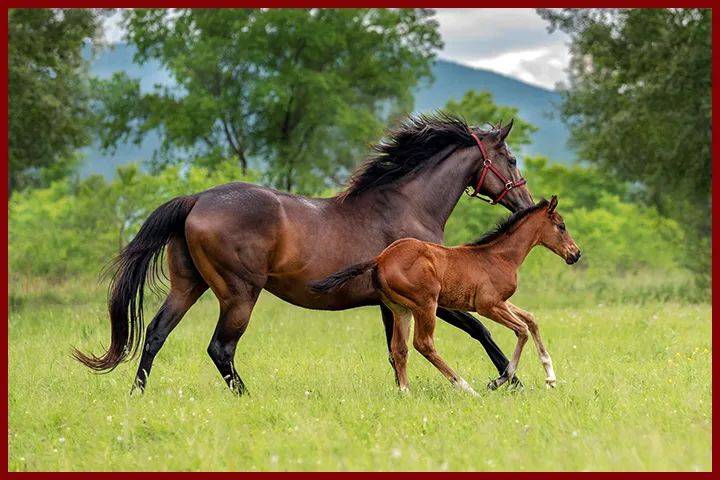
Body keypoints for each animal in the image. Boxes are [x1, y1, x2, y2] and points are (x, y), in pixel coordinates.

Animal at [74, 113, 535, 394]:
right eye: (510, 158)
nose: (526, 203)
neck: (406, 206)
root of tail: (198, 199)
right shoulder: (430, 299)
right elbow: (480, 329)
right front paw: (510, 381)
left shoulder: (391, 305)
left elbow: (396, 352)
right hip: (239, 294)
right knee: (220, 348)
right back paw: (246, 396)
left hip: (188, 286)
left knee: (155, 334)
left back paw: (137, 394)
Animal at [311, 196, 580, 394]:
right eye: (562, 226)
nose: (575, 254)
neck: (500, 256)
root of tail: (380, 258)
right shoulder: (488, 305)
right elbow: (522, 330)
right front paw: (498, 381)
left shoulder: (501, 302)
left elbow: (531, 320)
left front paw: (550, 377)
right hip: (425, 305)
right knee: (423, 344)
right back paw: (465, 387)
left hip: (401, 309)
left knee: (399, 348)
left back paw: (406, 392)